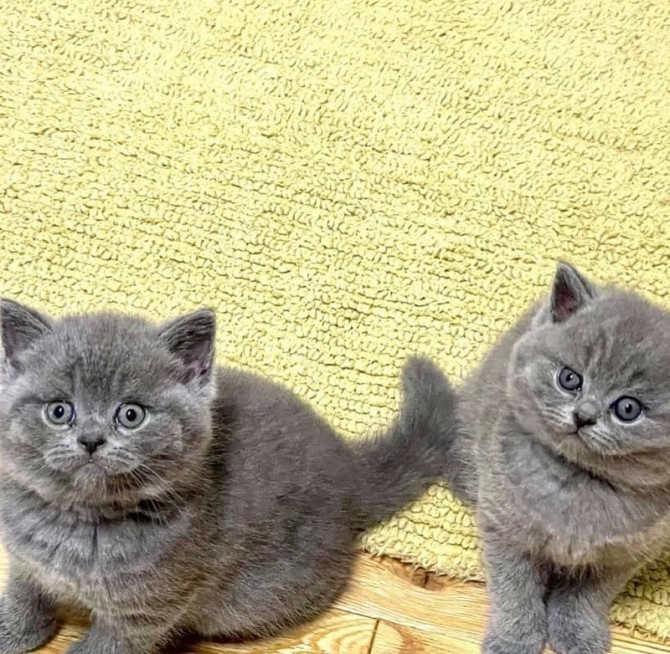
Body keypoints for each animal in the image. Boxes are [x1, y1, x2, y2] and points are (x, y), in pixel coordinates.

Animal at [0, 304, 456, 654]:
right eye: (59, 411)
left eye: (131, 414)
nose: (91, 439)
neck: (78, 520)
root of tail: (348, 466)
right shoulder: (25, 563)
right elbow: (23, 599)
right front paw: (14, 632)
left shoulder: (145, 611)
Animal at [436, 264, 670, 654]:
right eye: (569, 379)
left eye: (628, 409)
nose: (584, 416)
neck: (575, 479)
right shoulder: (504, 526)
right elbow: (514, 591)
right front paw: (513, 639)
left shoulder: (623, 555)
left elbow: (587, 596)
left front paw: (579, 635)